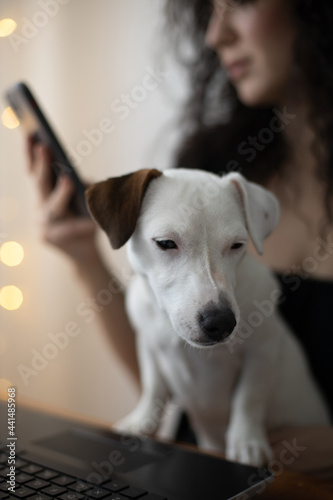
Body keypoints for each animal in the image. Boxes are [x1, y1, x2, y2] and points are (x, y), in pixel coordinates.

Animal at [85, 168, 330, 464]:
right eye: (166, 243)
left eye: (237, 245)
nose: (222, 322)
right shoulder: (148, 344)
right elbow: (153, 386)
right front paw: (141, 422)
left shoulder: (261, 353)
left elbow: (249, 398)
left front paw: (246, 442)